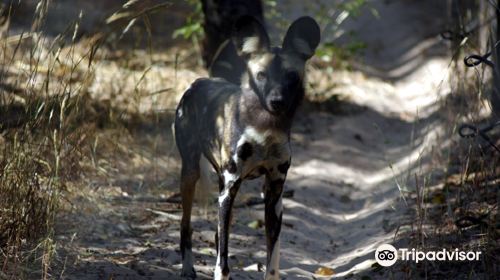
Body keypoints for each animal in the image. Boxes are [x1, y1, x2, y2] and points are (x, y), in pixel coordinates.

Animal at [174, 15, 318, 280]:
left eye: (291, 76)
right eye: (261, 75)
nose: (276, 101)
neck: (265, 132)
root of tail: (197, 82)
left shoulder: (273, 194)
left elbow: (272, 258)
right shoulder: (230, 189)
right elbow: (223, 260)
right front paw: (220, 274)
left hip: (226, 187)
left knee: (219, 233)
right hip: (191, 175)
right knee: (186, 225)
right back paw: (188, 268)